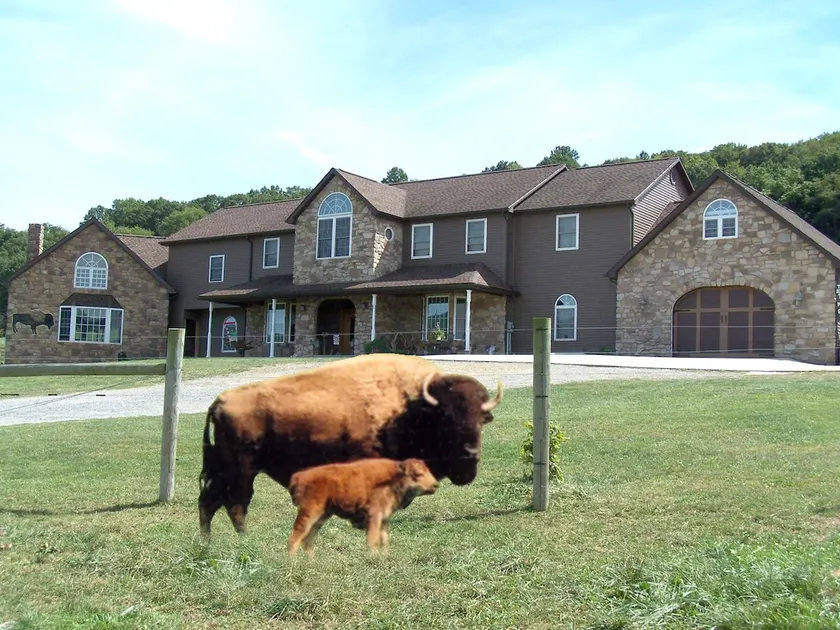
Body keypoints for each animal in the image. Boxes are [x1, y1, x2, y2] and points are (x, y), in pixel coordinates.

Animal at [198, 353, 502, 539]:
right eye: (447, 419)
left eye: (481, 420)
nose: (470, 456)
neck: (413, 407)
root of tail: (219, 402)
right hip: (242, 472)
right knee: (235, 503)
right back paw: (242, 537)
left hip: (225, 471)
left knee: (210, 502)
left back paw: (208, 541)